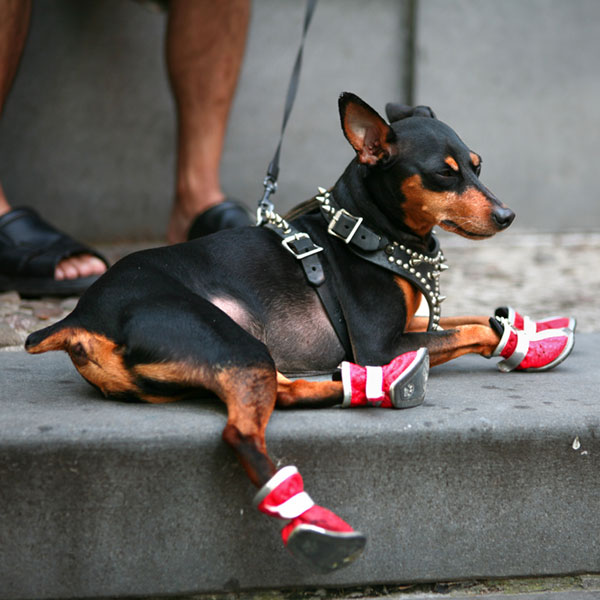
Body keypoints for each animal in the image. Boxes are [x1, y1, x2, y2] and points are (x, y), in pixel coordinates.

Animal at [25, 92, 572, 572]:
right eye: (444, 174)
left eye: (478, 165)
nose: (507, 216)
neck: (367, 231)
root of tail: (80, 320)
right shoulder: (377, 342)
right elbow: (475, 330)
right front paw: (520, 341)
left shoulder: (409, 325)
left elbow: (468, 318)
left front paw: (532, 332)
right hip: (230, 339)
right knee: (243, 432)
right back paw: (316, 520)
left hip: (239, 355)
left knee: (283, 392)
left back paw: (364, 387)